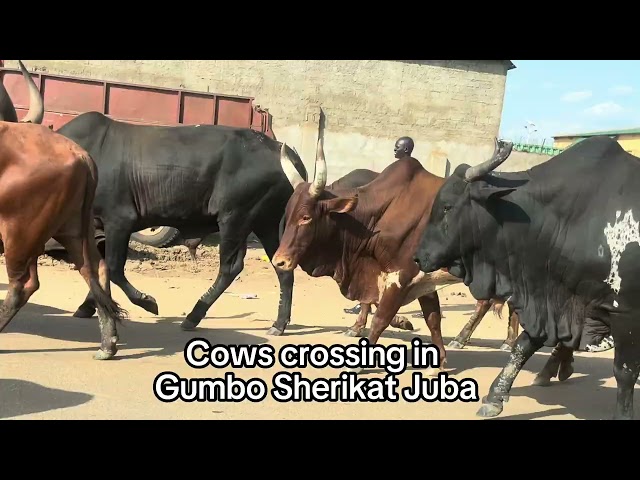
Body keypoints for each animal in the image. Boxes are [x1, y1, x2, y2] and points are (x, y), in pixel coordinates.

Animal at [55, 113, 308, 336]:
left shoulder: (119, 221)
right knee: (281, 267)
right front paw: (88, 305)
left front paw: (147, 301)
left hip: (235, 218)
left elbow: (114, 268)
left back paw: (194, 316)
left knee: (230, 268)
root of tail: (280, 149)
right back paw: (279, 323)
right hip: (266, 223)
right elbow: (100, 268)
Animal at [416, 136, 640, 420]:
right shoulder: (552, 301)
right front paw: (495, 398)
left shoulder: (627, 314)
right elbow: (523, 345)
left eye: (447, 207)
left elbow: (625, 372)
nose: (418, 257)